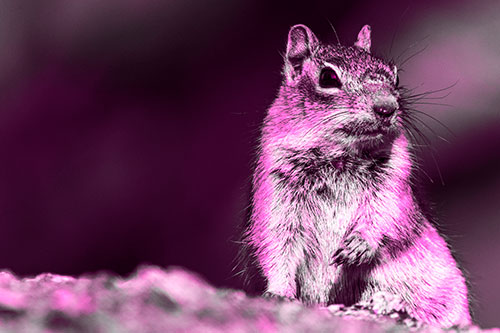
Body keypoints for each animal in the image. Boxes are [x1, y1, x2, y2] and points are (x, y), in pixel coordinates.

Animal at [246, 24, 472, 326]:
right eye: (328, 77)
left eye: (395, 75)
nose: (386, 108)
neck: (338, 156)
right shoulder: (276, 188)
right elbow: (276, 243)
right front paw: (279, 293)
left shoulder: (394, 180)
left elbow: (388, 213)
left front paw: (359, 245)